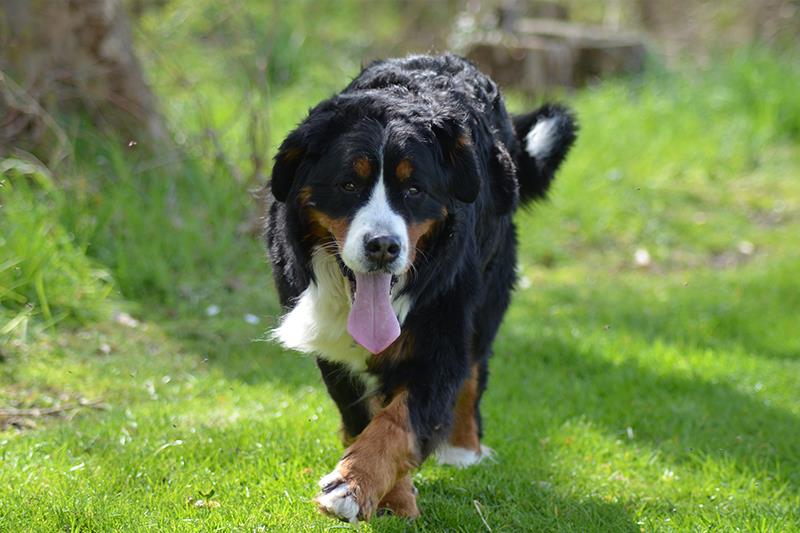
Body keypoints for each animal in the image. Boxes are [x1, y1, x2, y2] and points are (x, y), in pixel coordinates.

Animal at [268, 55, 576, 524]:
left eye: (414, 189)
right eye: (348, 185)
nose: (383, 246)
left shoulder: (438, 339)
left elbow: (399, 423)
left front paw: (353, 487)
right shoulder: (334, 351)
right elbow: (364, 417)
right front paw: (389, 495)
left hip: (487, 294)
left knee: (474, 368)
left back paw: (464, 449)